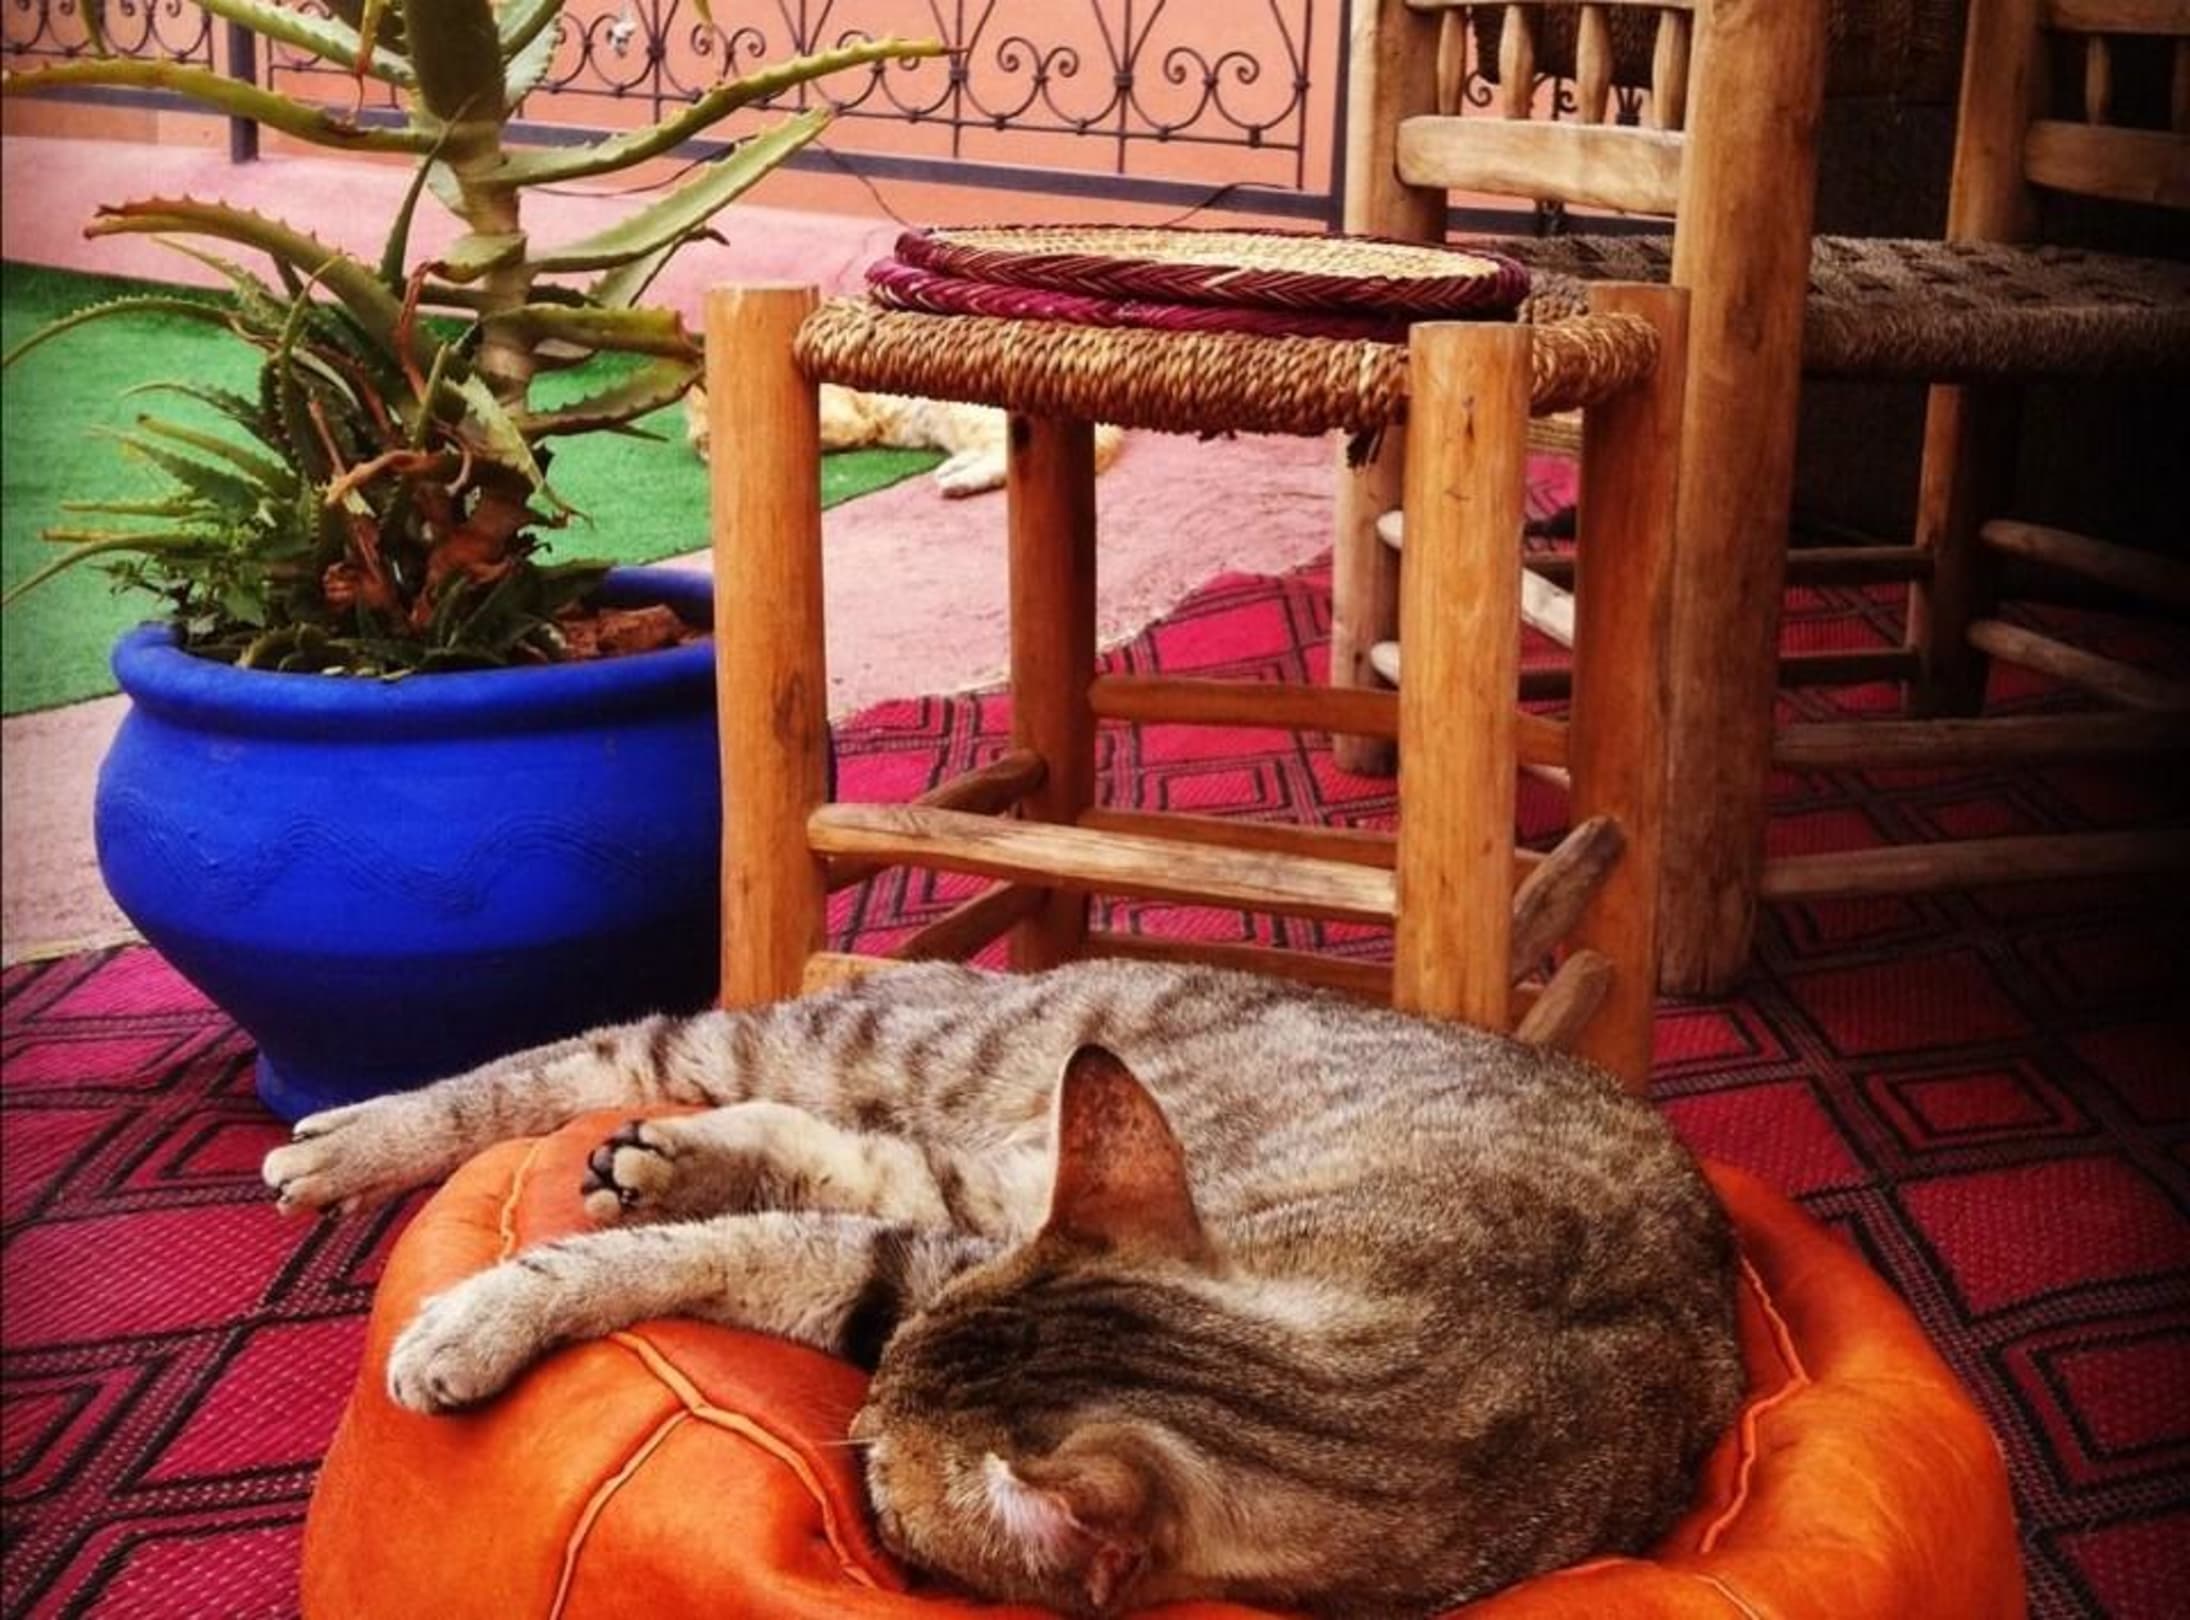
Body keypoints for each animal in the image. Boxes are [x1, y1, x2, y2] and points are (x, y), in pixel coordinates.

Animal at [262, 959, 1744, 1620]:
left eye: (872, 1467)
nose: (854, 1434)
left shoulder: (930, 1276)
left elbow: (782, 1247)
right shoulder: (949, 1273)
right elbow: (696, 1248)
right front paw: (478, 1315)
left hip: (957, 1168)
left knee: (818, 1146)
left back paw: (659, 1161)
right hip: (866, 1041)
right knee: (603, 1052)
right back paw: (344, 1142)